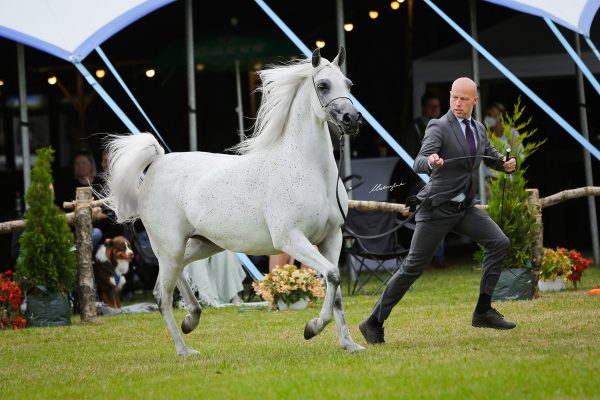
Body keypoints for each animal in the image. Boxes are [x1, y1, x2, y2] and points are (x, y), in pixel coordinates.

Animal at [105, 47, 364, 356]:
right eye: (323, 85)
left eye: (349, 84)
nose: (352, 120)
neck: (308, 168)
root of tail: (156, 162)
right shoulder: (291, 239)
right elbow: (333, 275)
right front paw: (312, 328)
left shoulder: (331, 238)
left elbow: (335, 289)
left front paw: (349, 344)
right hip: (169, 246)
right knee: (161, 295)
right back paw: (184, 349)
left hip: (202, 244)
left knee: (176, 274)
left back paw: (192, 318)